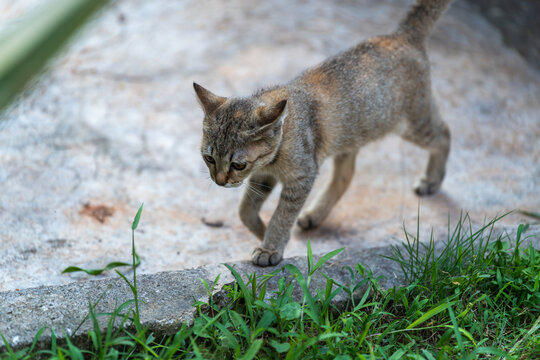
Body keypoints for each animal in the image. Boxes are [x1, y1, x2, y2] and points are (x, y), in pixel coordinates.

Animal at [196, 0, 454, 264]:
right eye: (208, 158)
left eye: (238, 164)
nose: (219, 181)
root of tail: (401, 35)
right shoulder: (264, 176)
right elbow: (245, 210)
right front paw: (262, 232)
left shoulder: (301, 176)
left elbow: (282, 216)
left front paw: (270, 247)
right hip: (350, 138)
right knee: (345, 176)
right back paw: (316, 214)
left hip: (413, 123)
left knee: (444, 134)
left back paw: (432, 180)